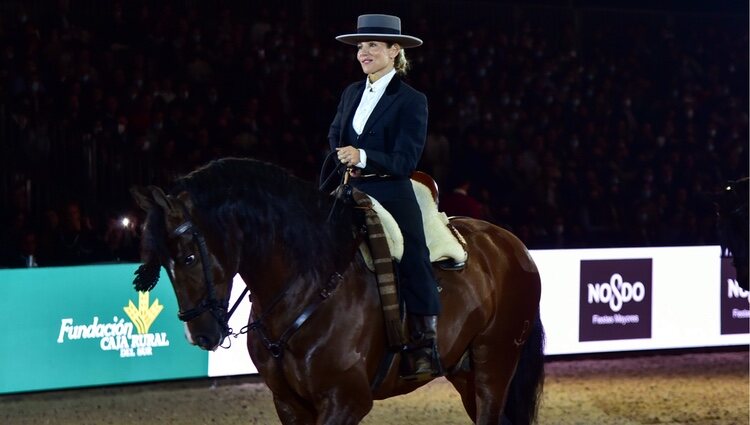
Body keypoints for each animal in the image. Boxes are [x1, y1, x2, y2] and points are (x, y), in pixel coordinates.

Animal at [131, 158, 548, 424]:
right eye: (161, 264)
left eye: (187, 257)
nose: (200, 334)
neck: (307, 287)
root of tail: (512, 245)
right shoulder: (289, 404)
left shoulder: (346, 401)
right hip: (466, 374)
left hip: (494, 366)